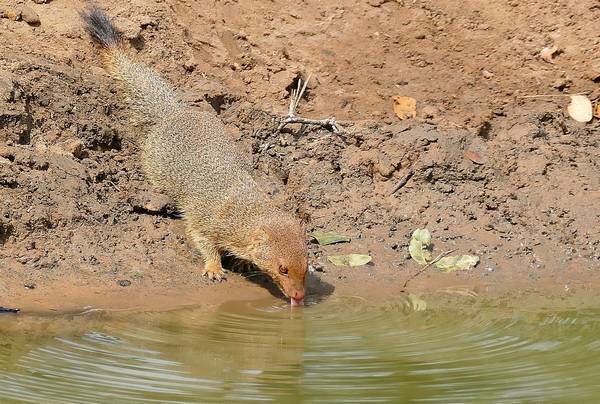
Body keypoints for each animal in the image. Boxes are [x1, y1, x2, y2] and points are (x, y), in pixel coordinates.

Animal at [81, 7, 307, 305]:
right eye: (283, 268)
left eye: (307, 267)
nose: (299, 296)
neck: (241, 207)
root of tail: (176, 112)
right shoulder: (203, 218)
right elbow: (202, 240)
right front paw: (214, 269)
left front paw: (243, 262)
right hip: (156, 162)